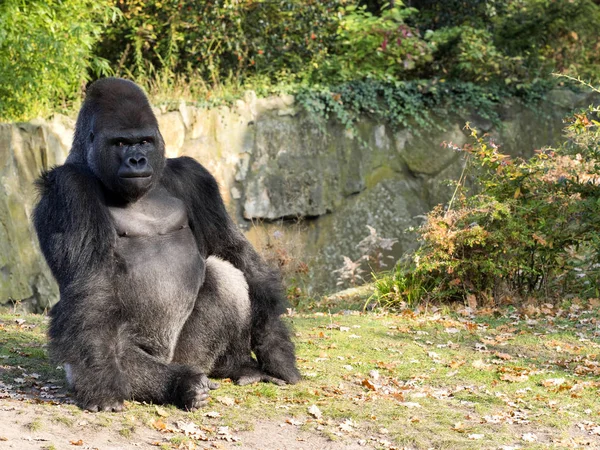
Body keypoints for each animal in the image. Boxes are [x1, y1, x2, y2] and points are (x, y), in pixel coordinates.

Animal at [32, 78, 300, 412]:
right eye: (120, 143)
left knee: (225, 274)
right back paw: (182, 385)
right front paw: (102, 385)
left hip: (191, 355)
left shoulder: (194, 177)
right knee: (117, 351)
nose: (137, 160)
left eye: (145, 141)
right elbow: (90, 289)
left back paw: (236, 365)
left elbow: (230, 249)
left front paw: (274, 345)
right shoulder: (69, 189)